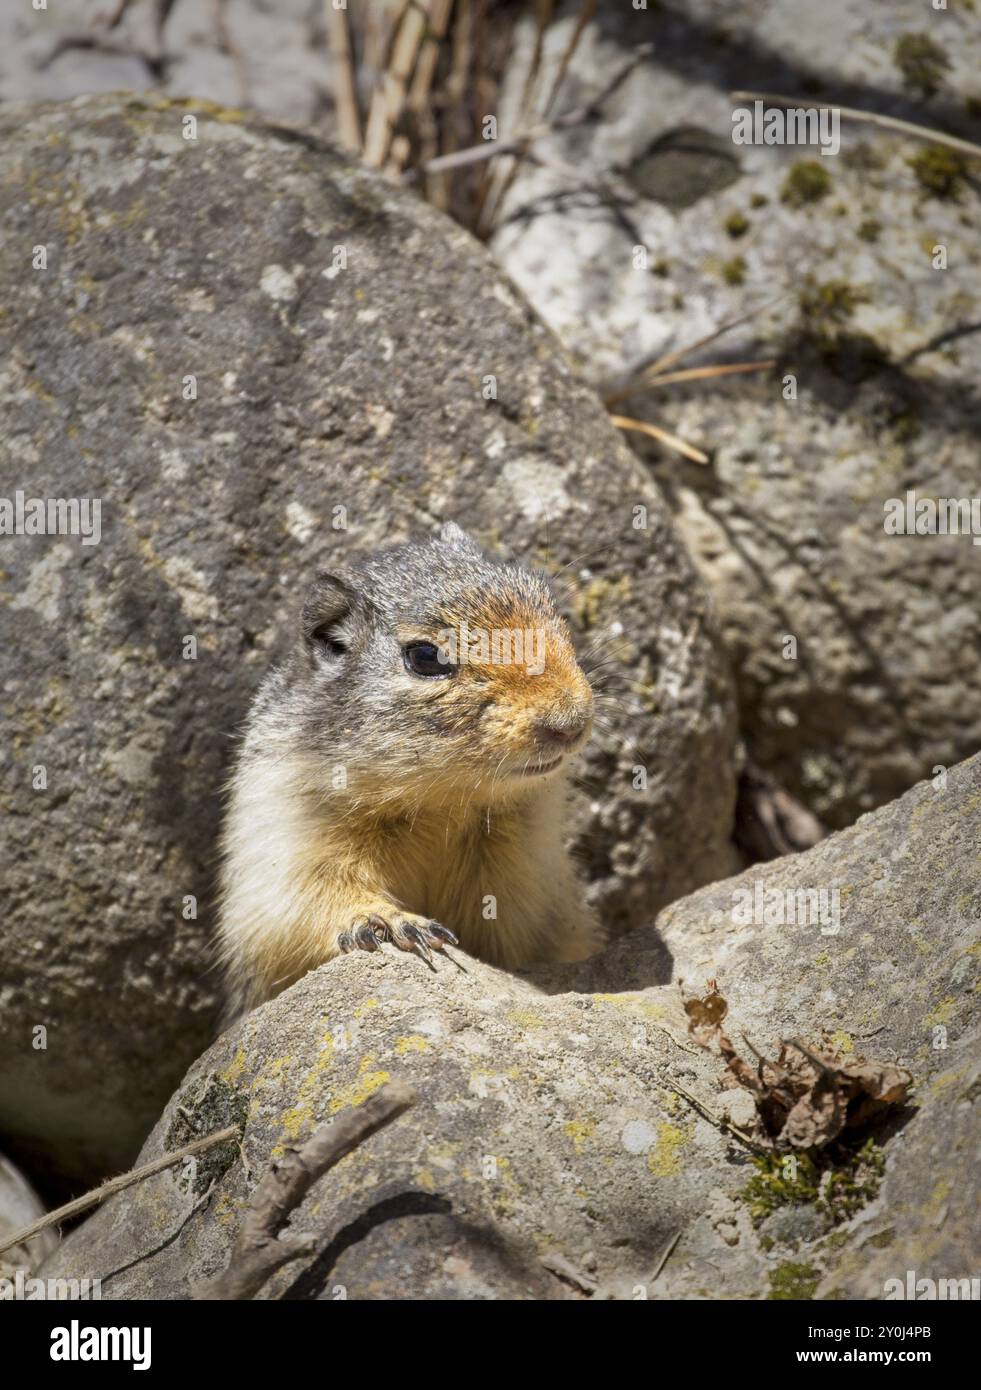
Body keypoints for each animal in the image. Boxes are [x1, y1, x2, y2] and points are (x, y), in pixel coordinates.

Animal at [218, 522, 600, 1011]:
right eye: (426, 657)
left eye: (557, 613)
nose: (571, 722)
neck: (440, 806)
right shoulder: (288, 835)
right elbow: (309, 902)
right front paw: (393, 924)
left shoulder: (528, 868)